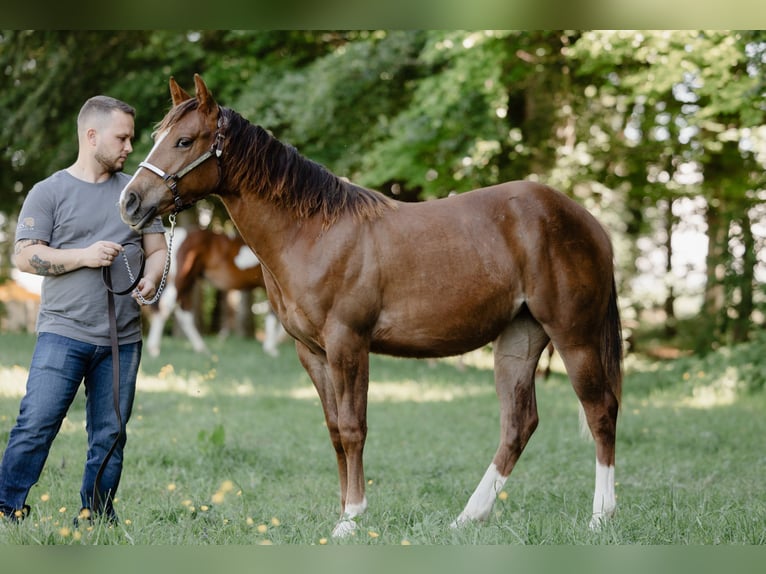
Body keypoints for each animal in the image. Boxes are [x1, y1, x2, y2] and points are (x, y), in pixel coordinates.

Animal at [146, 227, 286, 357]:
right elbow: (275, 316)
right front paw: (271, 348)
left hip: (188, 282)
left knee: (183, 313)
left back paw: (201, 348)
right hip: (181, 280)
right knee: (166, 306)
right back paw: (154, 348)